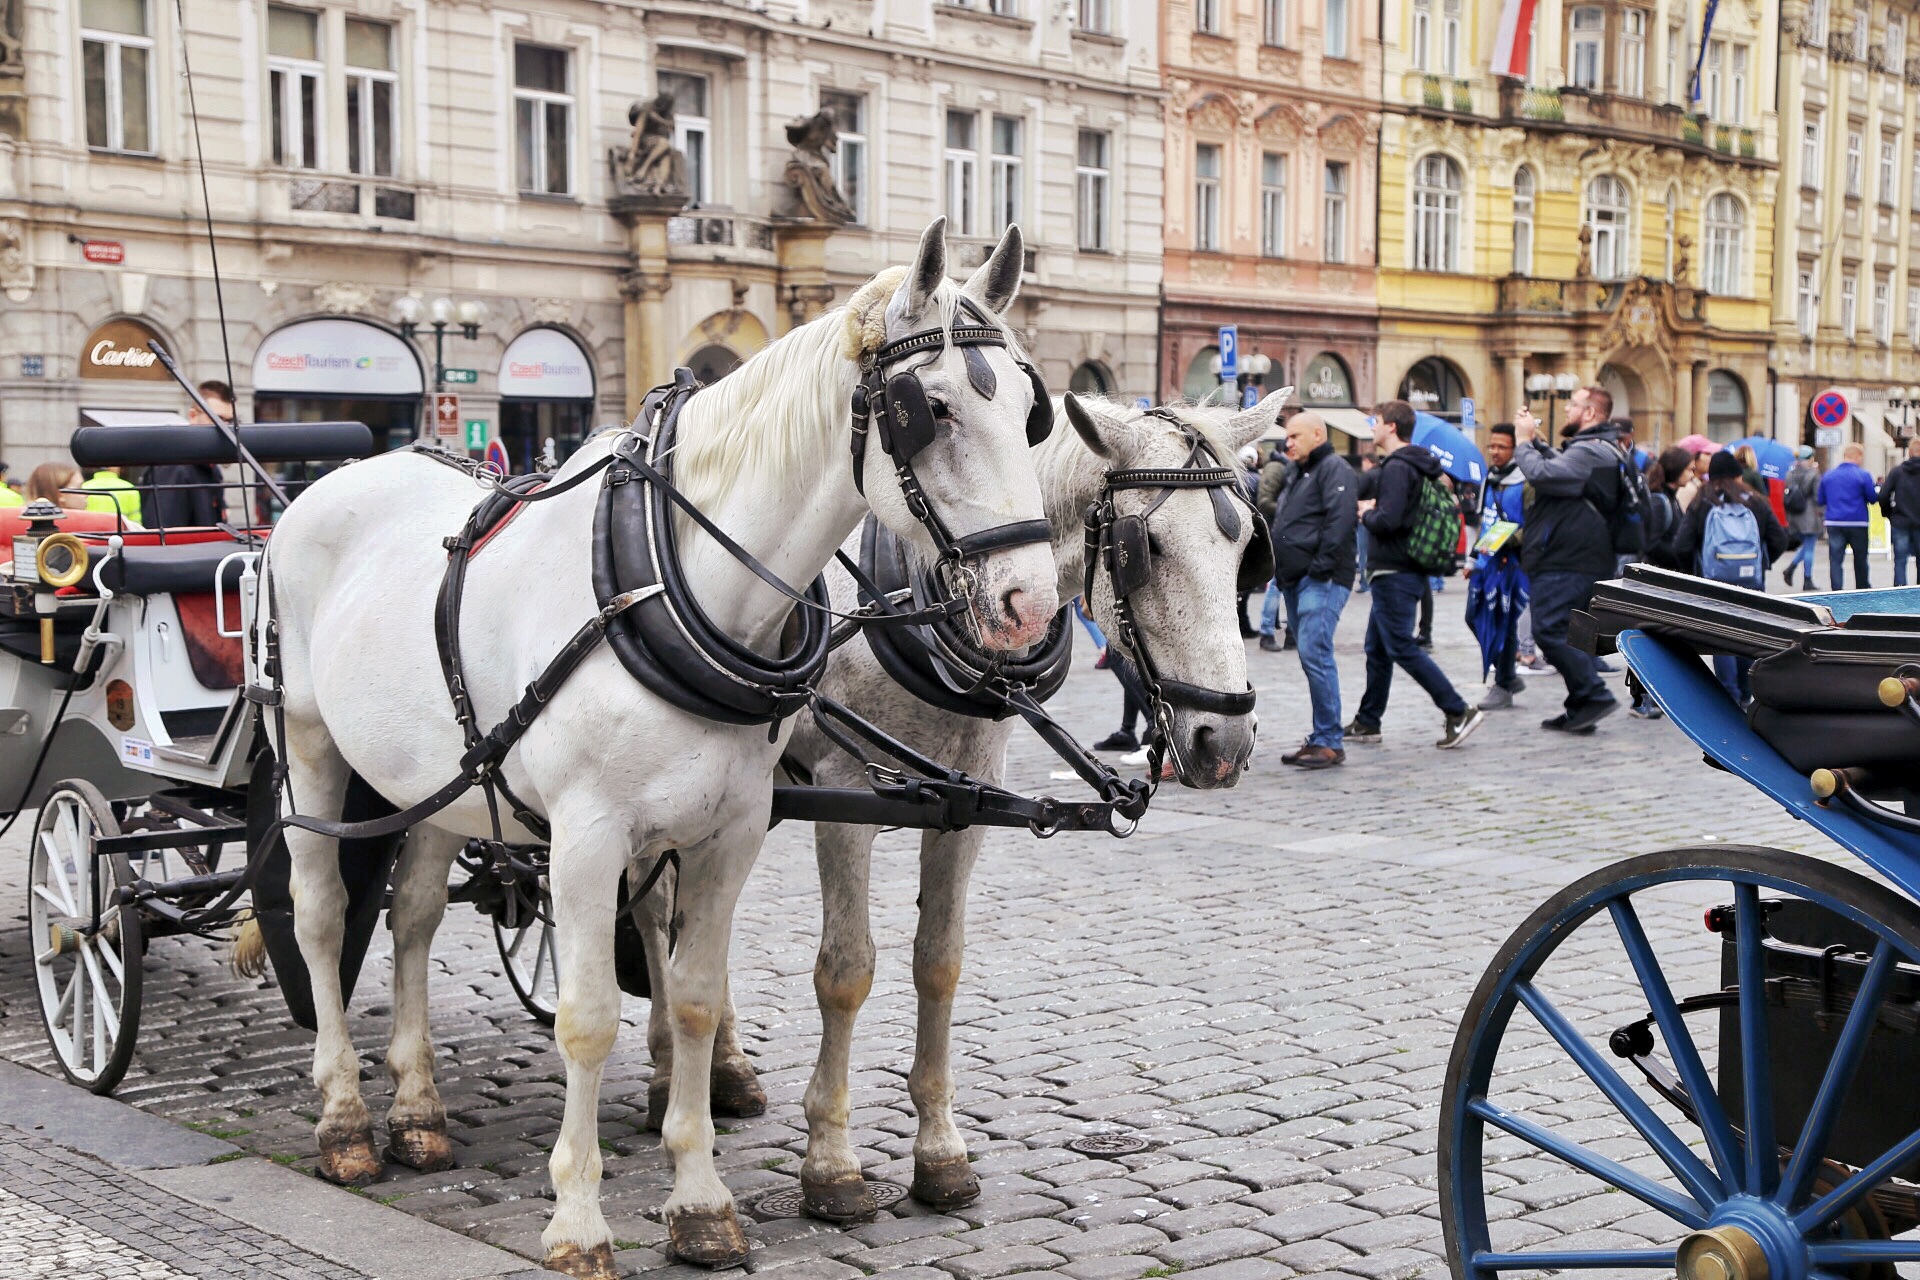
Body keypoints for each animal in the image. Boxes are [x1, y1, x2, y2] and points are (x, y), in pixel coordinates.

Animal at [257, 225, 1059, 1274]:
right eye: (931, 408)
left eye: (1034, 413)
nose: (1031, 606)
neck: (668, 582)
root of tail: (336, 476)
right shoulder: (588, 839)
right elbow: (589, 1019)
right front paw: (578, 1218)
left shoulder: (732, 831)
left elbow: (693, 998)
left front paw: (701, 1199)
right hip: (310, 744)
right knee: (320, 914)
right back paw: (346, 1117)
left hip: (440, 780)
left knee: (416, 916)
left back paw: (420, 1109)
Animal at [637, 391, 1282, 1220]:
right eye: (1151, 548)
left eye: (1245, 551)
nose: (1225, 740)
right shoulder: (848, 797)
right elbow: (845, 970)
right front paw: (832, 1164)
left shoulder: (965, 799)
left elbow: (939, 963)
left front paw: (940, 1152)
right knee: (658, 918)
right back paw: (666, 1074)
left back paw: (728, 1070)